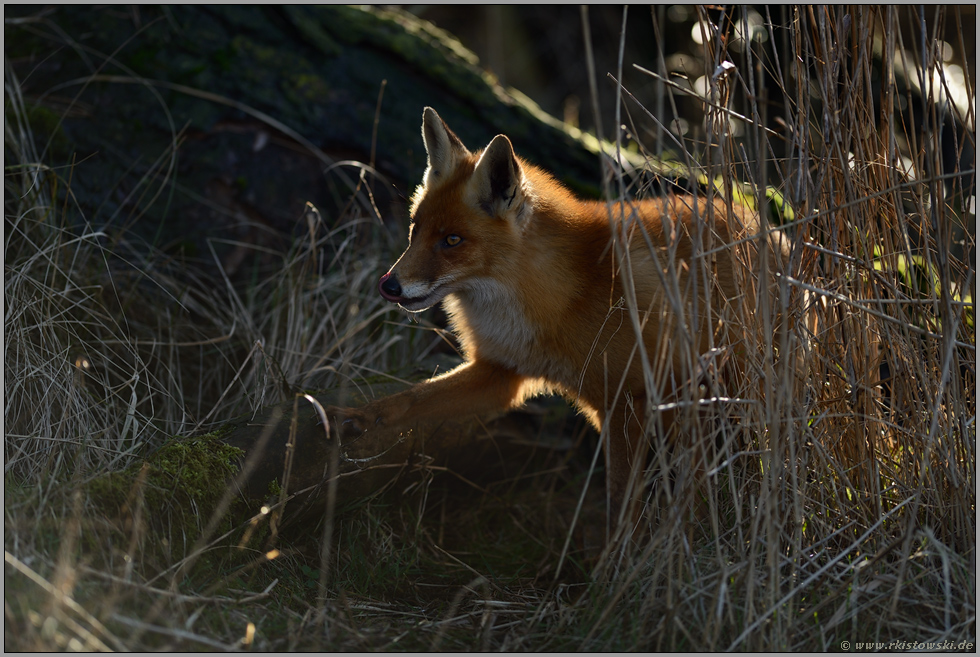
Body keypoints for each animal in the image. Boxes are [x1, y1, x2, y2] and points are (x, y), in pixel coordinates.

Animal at [334, 107, 784, 536]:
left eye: (452, 241)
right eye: (416, 229)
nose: (388, 285)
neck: (552, 300)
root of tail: (765, 225)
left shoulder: (626, 401)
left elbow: (620, 503)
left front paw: (615, 562)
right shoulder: (500, 372)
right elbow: (414, 397)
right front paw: (361, 417)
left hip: (737, 394)